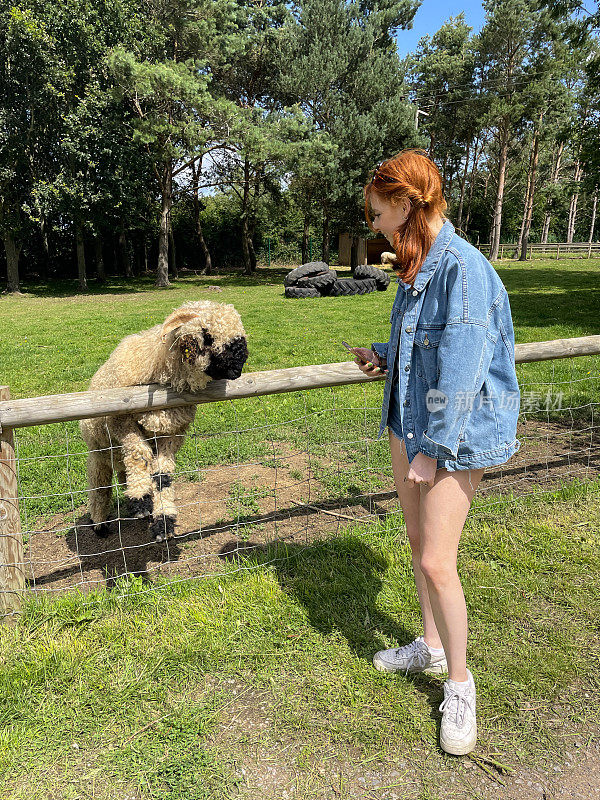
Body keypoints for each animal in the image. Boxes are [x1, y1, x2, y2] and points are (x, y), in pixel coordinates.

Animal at [80, 300, 248, 544]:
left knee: (124, 474)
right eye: (207, 335)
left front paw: (162, 521)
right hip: (98, 455)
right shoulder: (120, 421)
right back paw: (100, 524)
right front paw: (140, 499)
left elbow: (163, 475)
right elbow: (139, 455)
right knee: (100, 488)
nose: (237, 370)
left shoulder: (172, 431)